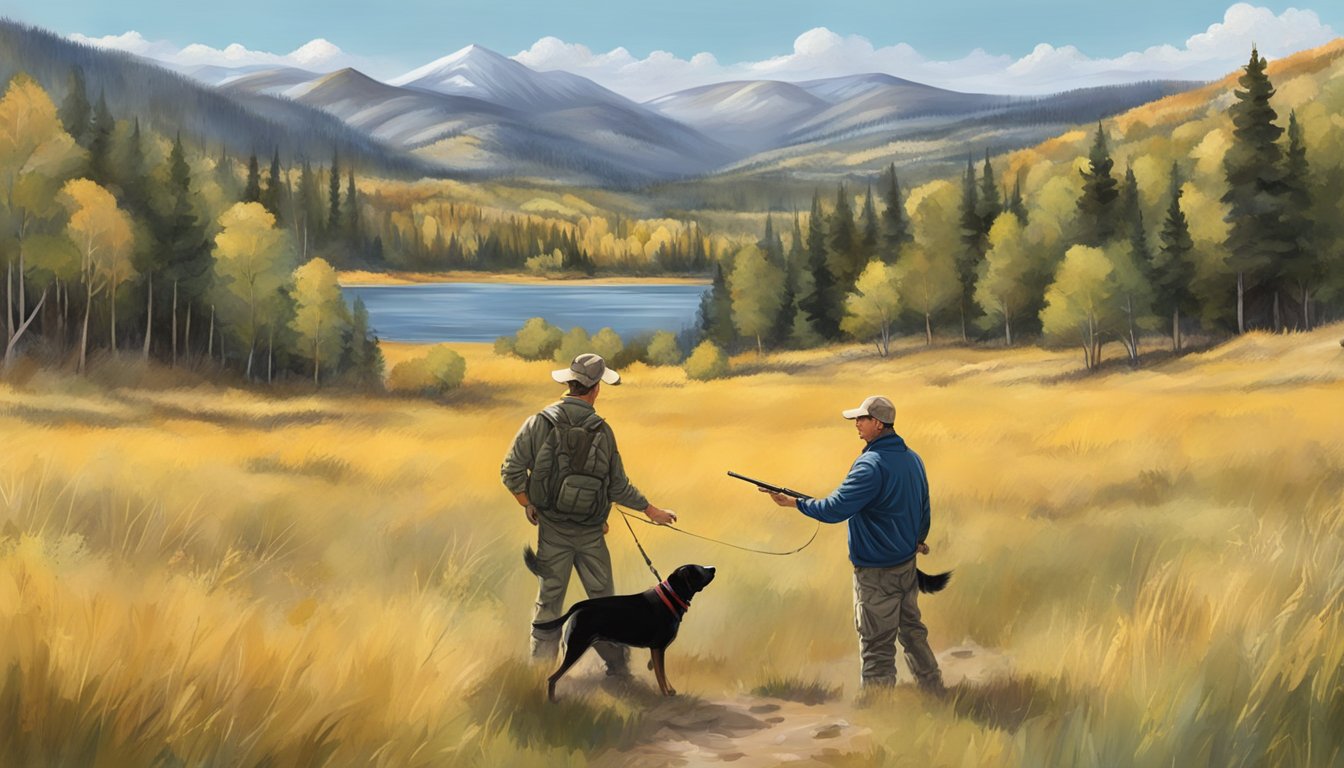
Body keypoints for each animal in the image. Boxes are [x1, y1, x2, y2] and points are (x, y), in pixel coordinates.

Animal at [524, 546, 715, 704]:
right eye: (698, 569)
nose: (713, 568)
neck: (670, 597)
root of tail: (579, 606)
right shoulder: (658, 648)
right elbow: (661, 674)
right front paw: (666, 694)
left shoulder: (658, 650)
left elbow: (662, 673)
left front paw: (671, 690)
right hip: (576, 648)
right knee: (552, 678)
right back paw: (552, 701)